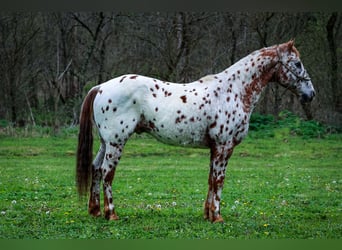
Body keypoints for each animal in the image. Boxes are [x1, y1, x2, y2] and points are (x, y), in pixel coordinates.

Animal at [77, 40, 316, 223]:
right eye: (297, 63)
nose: (310, 94)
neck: (233, 91)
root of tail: (100, 87)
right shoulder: (224, 146)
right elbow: (219, 180)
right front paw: (217, 217)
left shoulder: (215, 148)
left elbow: (211, 179)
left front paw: (208, 215)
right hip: (116, 143)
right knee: (107, 173)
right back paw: (111, 214)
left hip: (106, 143)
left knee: (96, 169)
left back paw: (95, 211)